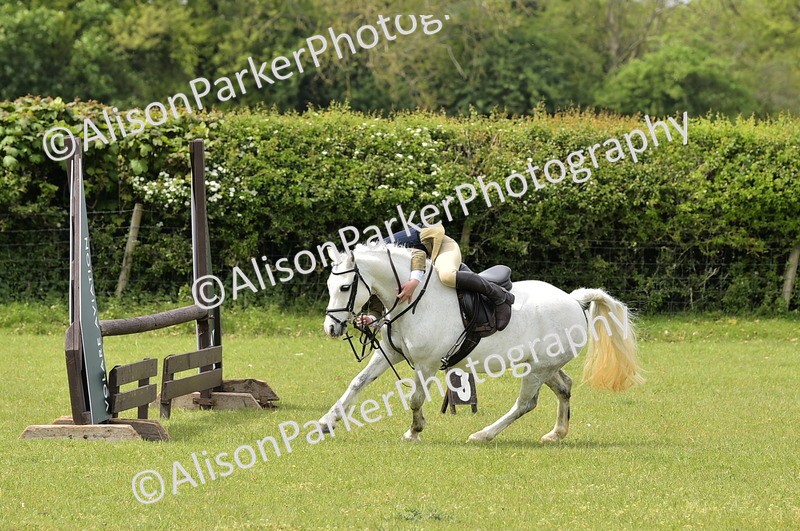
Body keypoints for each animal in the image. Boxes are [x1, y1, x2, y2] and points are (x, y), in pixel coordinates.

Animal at [321, 243, 644, 443]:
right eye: (329, 286)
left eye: (345, 287)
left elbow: (415, 399)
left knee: (525, 403)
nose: (331, 328)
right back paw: (556, 433)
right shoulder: (390, 352)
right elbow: (357, 383)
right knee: (564, 387)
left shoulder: (426, 364)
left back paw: (483, 434)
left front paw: (415, 430)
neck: (413, 302)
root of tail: (575, 300)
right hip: (545, 366)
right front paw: (327, 421)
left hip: (538, 369)